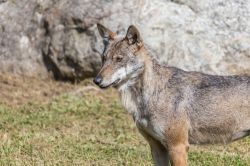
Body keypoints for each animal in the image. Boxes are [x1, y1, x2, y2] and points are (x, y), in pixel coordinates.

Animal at [93, 23, 249, 166]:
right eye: (103, 58)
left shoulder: (177, 147)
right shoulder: (157, 147)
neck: (153, 94)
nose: (96, 80)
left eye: (119, 59)